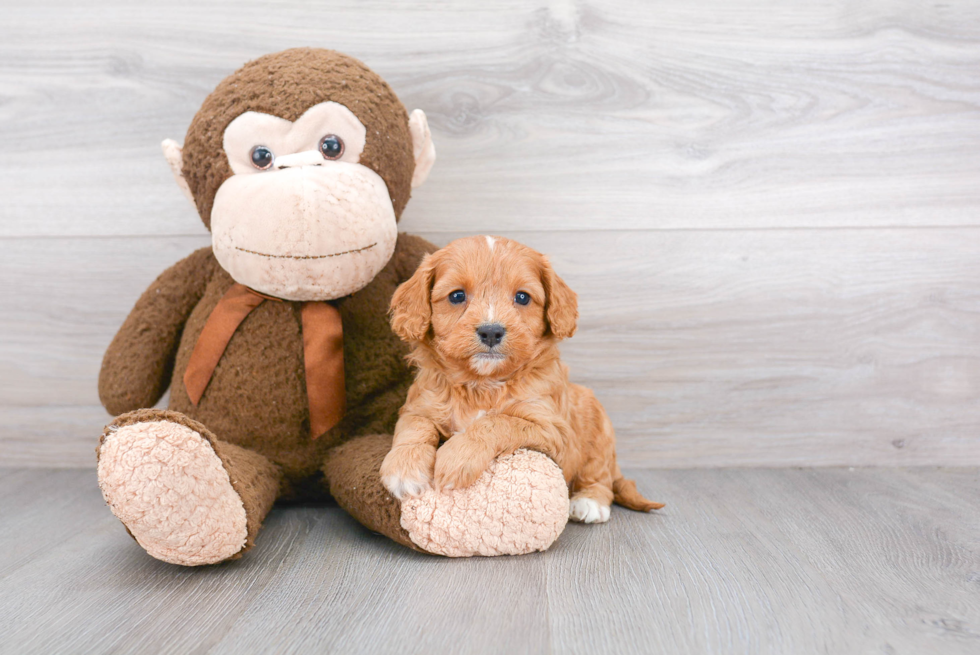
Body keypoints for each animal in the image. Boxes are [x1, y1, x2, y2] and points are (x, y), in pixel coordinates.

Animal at [378, 236, 664, 524]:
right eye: (457, 296)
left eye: (522, 297)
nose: (491, 331)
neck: (482, 383)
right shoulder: (419, 405)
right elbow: (415, 427)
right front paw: (404, 468)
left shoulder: (554, 431)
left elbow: (499, 422)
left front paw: (457, 456)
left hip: (599, 426)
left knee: (600, 475)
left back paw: (590, 502)